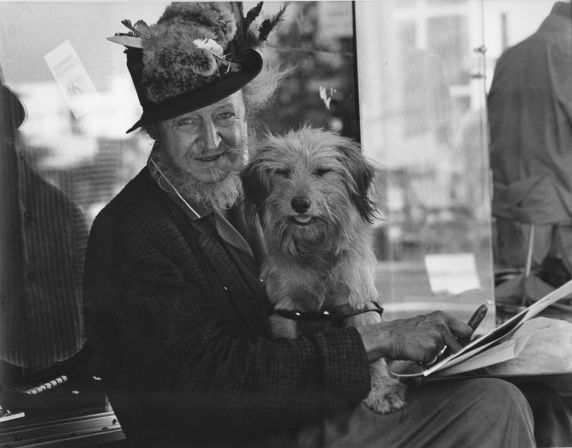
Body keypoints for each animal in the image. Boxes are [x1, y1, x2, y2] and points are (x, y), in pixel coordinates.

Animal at [241, 127, 406, 416]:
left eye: (321, 171)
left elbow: (372, 351)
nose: (300, 203)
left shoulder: (358, 301)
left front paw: (382, 389)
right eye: (283, 172)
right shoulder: (286, 307)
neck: (315, 249)